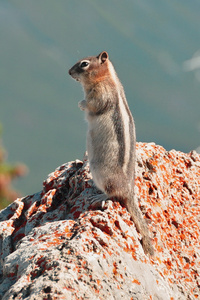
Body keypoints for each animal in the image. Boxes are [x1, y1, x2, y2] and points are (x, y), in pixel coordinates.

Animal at [68, 51, 154, 255]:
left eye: (84, 64)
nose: (68, 72)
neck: (105, 78)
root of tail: (129, 191)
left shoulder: (100, 95)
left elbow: (91, 104)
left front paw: (81, 103)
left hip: (104, 175)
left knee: (113, 194)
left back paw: (99, 196)